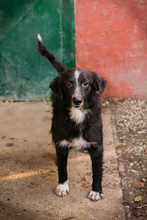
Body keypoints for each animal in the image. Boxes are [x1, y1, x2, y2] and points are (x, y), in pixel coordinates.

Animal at [37, 34, 107, 201]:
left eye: (86, 84)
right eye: (68, 84)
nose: (77, 101)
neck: (77, 115)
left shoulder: (97, 145)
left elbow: (97, 170)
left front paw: (96, 190)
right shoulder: (61, 144)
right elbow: (62, 168)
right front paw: (62, 186)